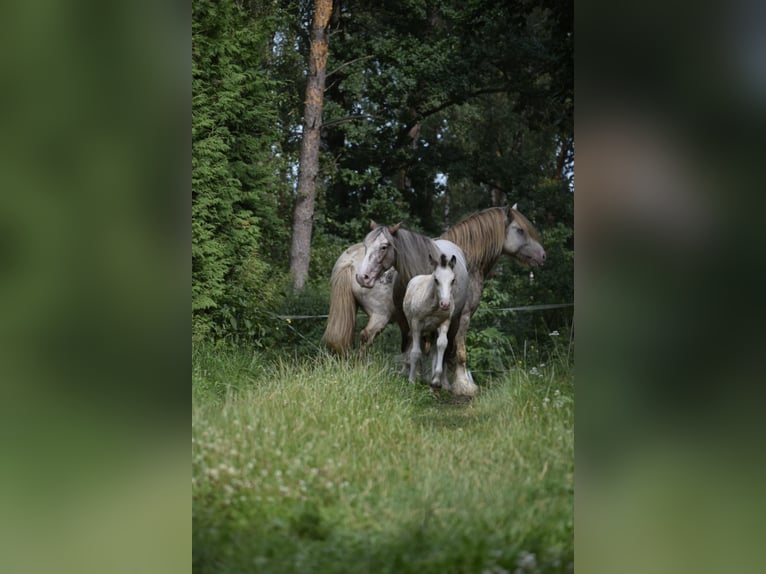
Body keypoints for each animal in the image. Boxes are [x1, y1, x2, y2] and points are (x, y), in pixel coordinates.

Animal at [320, 205, 548, 362]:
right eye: (521, 230)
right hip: (380, 316)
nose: (543, 255)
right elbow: (456, 353)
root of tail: (350, 262)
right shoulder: (462, 317)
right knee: (365, 338)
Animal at [404, 253, 472, 392]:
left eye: (453, 280)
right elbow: (416, 352)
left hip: (432, 330)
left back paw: (430, 380)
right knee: (415, 347)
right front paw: (411, 381)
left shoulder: (444, 323)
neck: (433, 305)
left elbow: (442, 345)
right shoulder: (416, 323)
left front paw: (436, 381)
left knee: (433, 351)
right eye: (436, 279)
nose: (445, 304)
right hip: (414, 326)